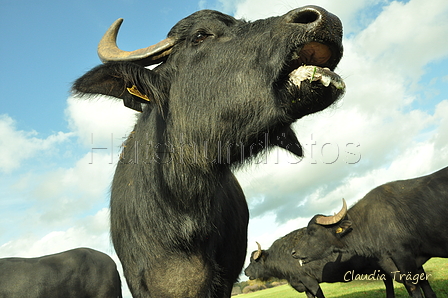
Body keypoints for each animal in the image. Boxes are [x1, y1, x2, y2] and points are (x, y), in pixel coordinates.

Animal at [292, 166, 448, 296]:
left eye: (312, 231)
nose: (293, 252)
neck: (368, 223)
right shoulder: (414, 262)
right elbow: (427, 288)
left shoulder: (402, 255)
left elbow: (413, 288)